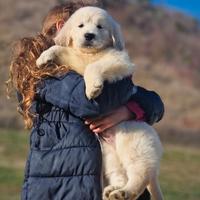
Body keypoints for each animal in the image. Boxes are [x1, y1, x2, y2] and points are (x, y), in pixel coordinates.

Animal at [36, 6, 163, 200]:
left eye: (99, 27)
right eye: (80, 26)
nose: (89, 35)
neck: (91, 54)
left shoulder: (119, 62)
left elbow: (93, 66)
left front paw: (93, 88)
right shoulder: (75, 58)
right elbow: (60, 48)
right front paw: (43, 57)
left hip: (134, 143)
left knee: (139, 176)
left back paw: (124, 192)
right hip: (109, 156)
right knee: (120, 175)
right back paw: (113, 191)